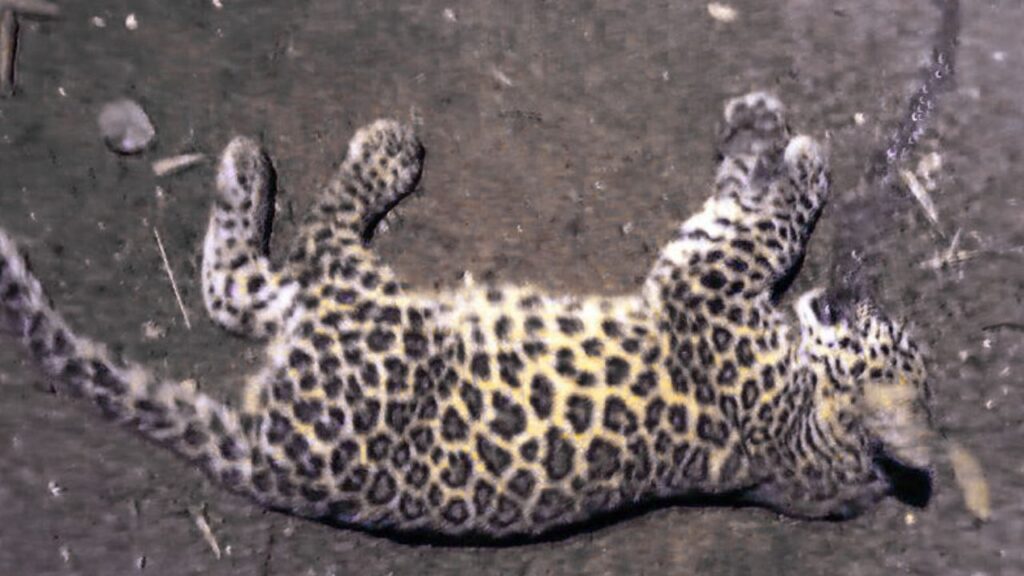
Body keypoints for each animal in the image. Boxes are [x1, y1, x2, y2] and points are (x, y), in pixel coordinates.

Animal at [0, 91, 936, 539]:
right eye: (890, 330)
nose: (847, 295)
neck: (822, 434)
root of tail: (269, 465)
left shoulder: (707, 277)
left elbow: (769, 217)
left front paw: (799, 154)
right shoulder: (711, 273)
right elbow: (747, 191)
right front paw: (764, 127)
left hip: (372, 317)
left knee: (289, 257)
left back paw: (345, 157)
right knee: (256, 282)